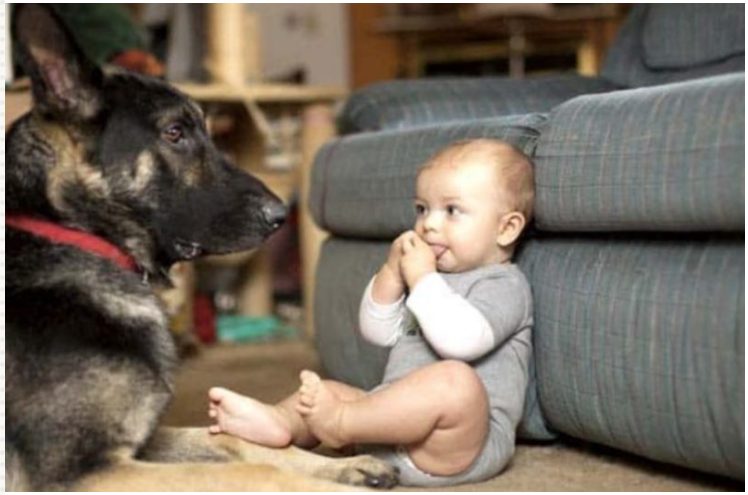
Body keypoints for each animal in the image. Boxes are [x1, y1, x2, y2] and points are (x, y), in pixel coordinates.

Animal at [7, 4, 398, 492]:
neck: (77, 232)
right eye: (175, 132)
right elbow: (257, 470)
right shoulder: (83, 472)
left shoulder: (140, 446)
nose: (280, 215)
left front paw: (346, 465)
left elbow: (237, 442)